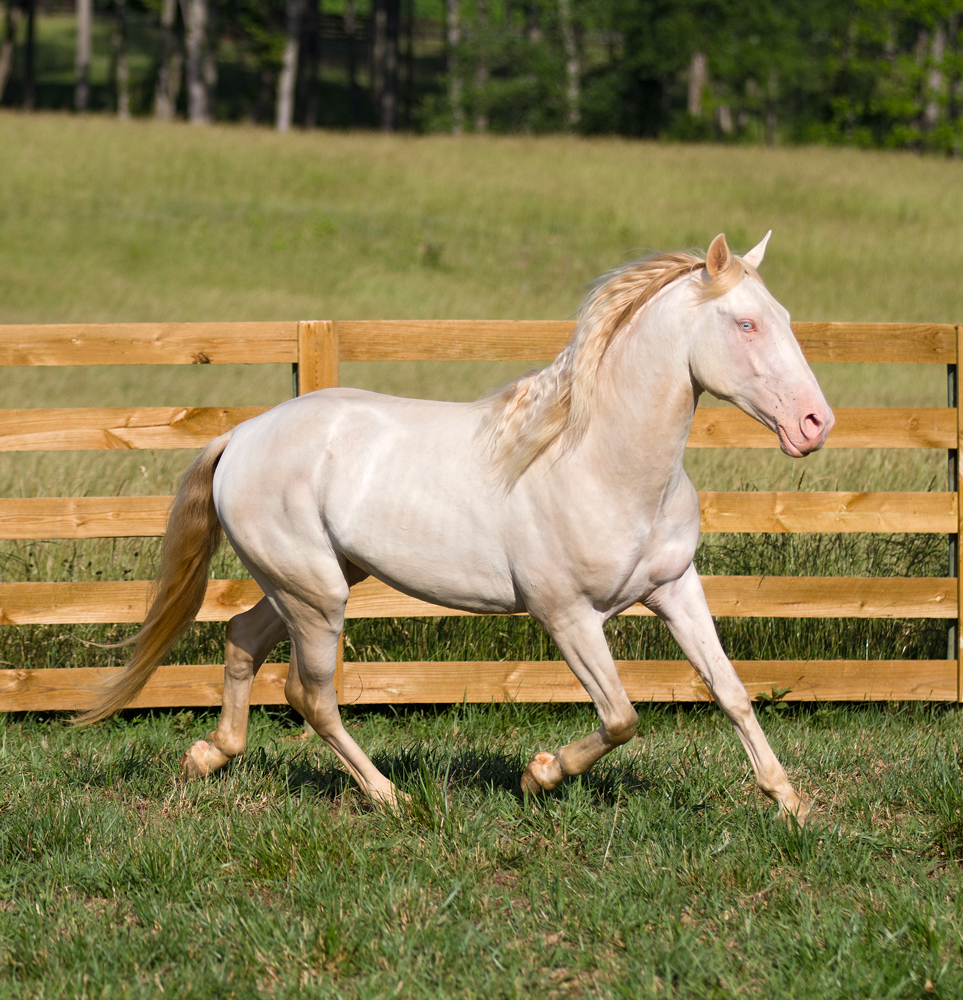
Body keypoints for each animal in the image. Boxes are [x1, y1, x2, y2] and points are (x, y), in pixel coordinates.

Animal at [81, 232, 836, 820]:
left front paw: (790, 804)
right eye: (745, 324)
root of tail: (240, 436)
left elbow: (730, 691)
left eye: (784, 315)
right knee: (310, 694)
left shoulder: (675, 587)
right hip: (316, 596)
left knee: (242, 638)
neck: (601, 464)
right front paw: (537, 774)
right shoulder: (566, 615)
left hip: (311, 582)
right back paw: (389, 798)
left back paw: (208, 756)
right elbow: (621, 715)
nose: (814, 424)